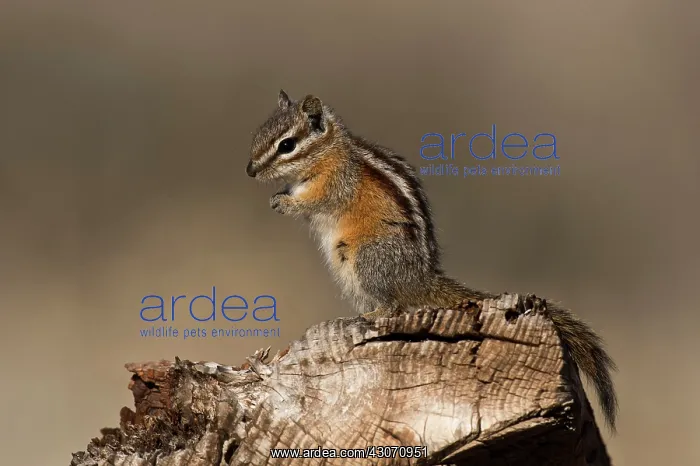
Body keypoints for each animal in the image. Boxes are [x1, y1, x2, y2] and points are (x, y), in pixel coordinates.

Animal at [245, 90, 618, 431]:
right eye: (259, 133)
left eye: (287, 145)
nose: (250, 170)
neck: (329, 152)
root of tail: (420, 279)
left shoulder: (336, 183)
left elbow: (318, 200)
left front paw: (285, 203)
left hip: (365, 258)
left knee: (394, 306)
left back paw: (371, 316)